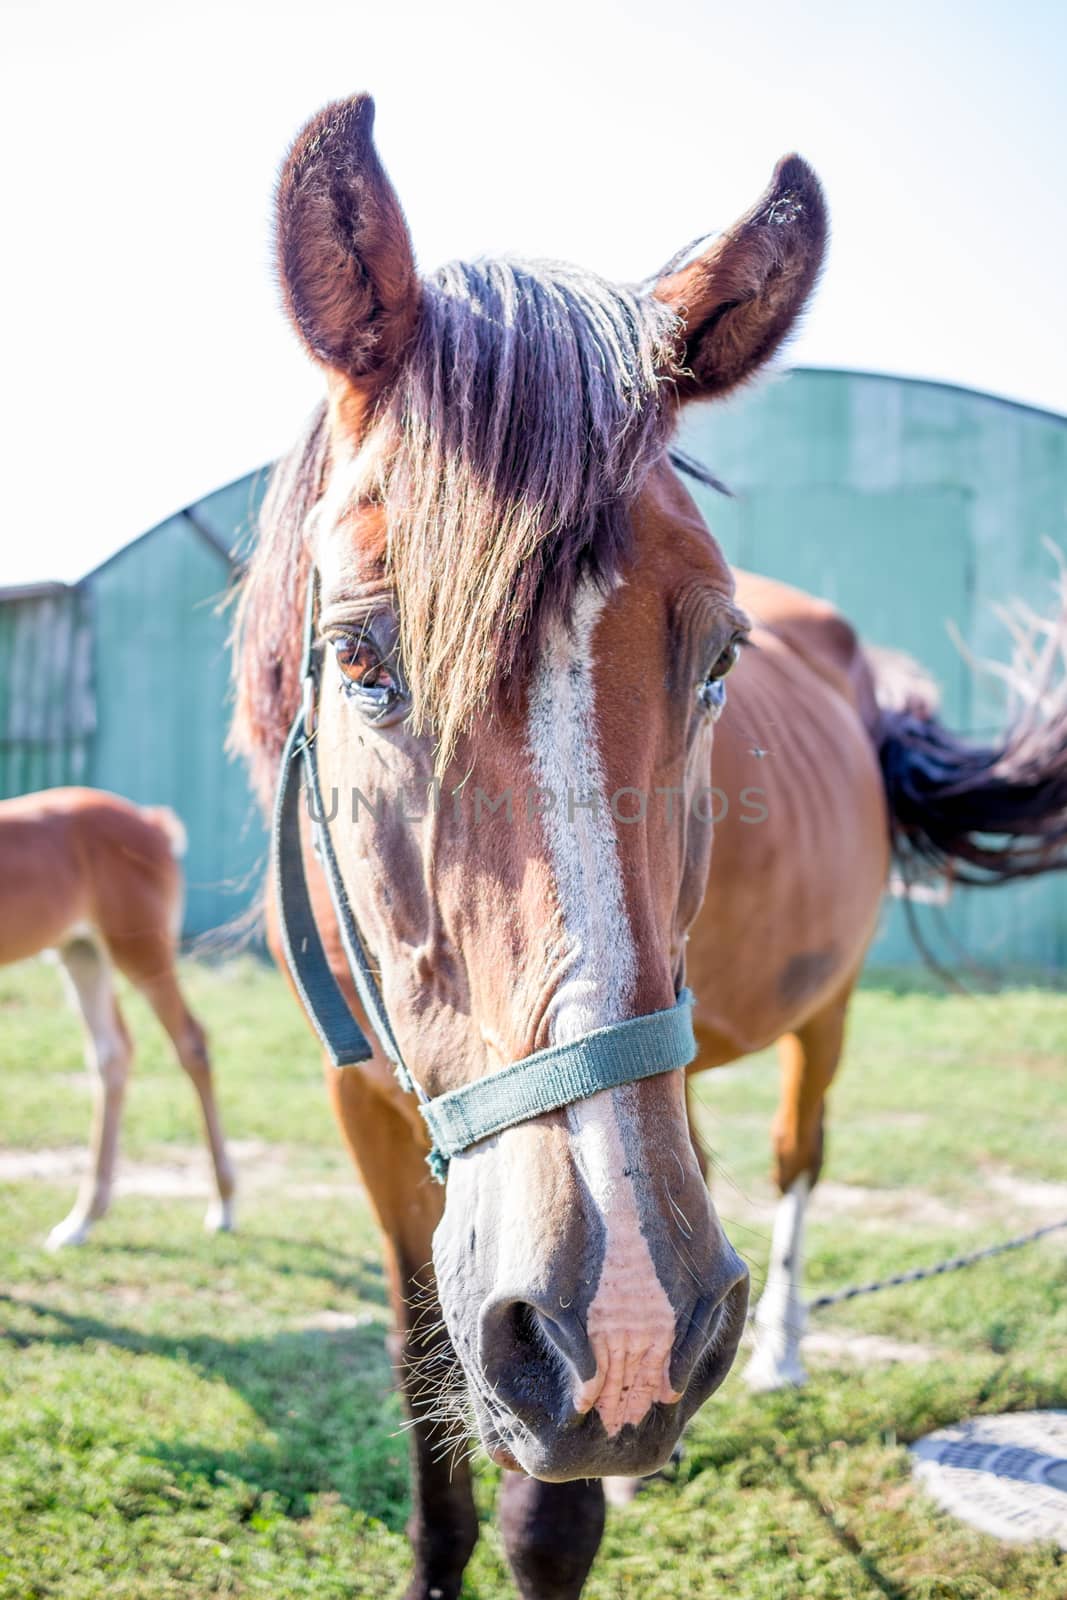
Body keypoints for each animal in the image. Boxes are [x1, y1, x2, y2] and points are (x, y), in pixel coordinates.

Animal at [0, 787, 235, 1248]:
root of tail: (151, 822)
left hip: (141, 950)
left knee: (190, 1042)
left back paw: (223, 1205)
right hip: (82, 952)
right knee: (111, 1053)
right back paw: (83, 1219)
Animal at [233, 96, 1067, 1600]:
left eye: (718, 657)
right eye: (359, 659)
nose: (619, 1318)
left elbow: (544, 1519)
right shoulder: (373, 1127)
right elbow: (429, 1431)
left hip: (821, 1010)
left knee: (795, 1158)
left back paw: (778, 1345)